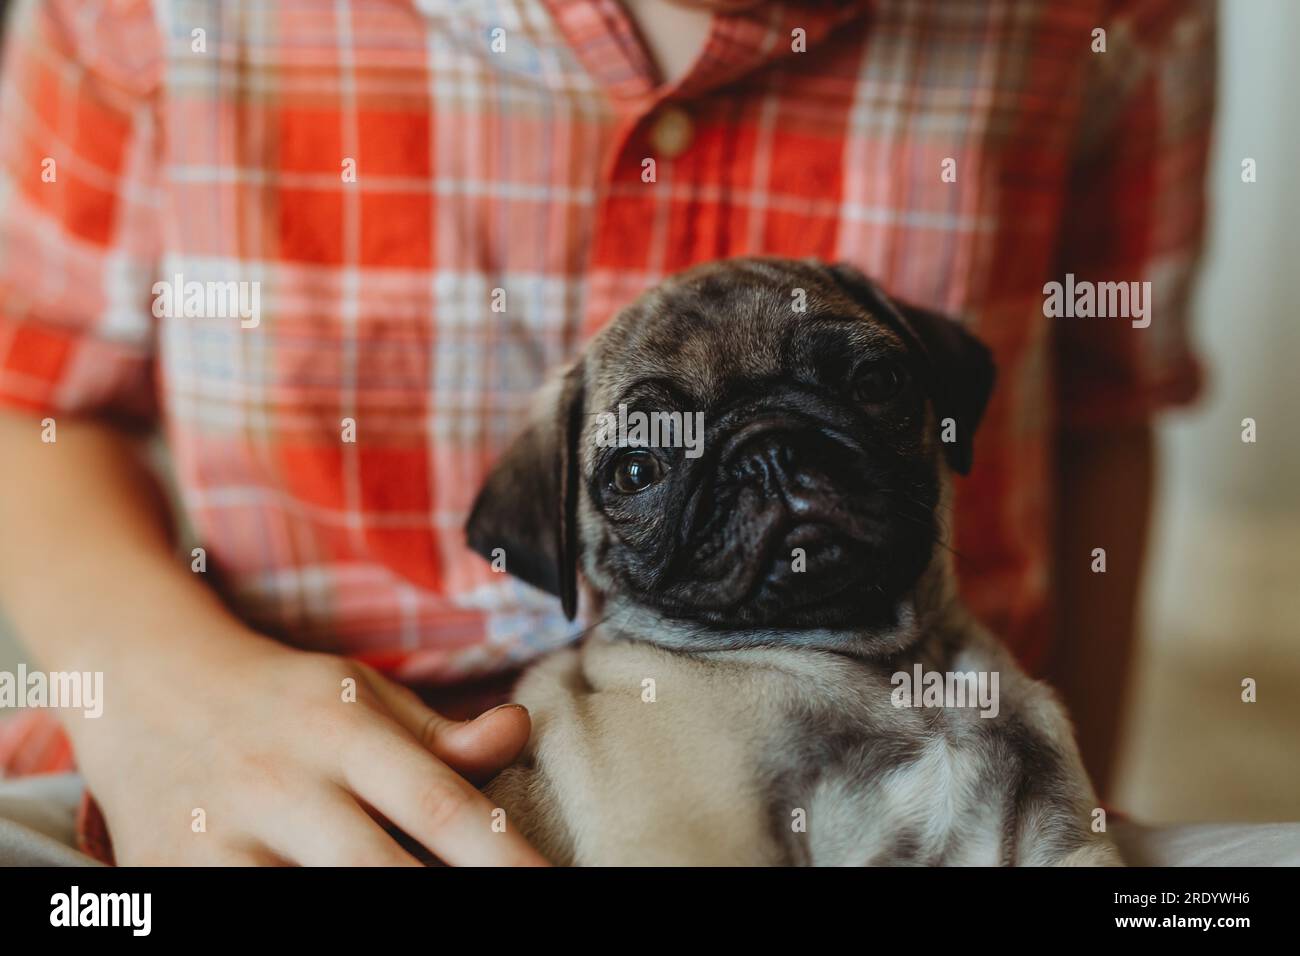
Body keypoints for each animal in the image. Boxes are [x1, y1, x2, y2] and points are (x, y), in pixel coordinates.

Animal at [465, 256, 1118, 868]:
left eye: (875, 382)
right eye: (634, 471)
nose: (767, 450)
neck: (898, 673)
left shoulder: (1067, 842)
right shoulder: (699, 840)